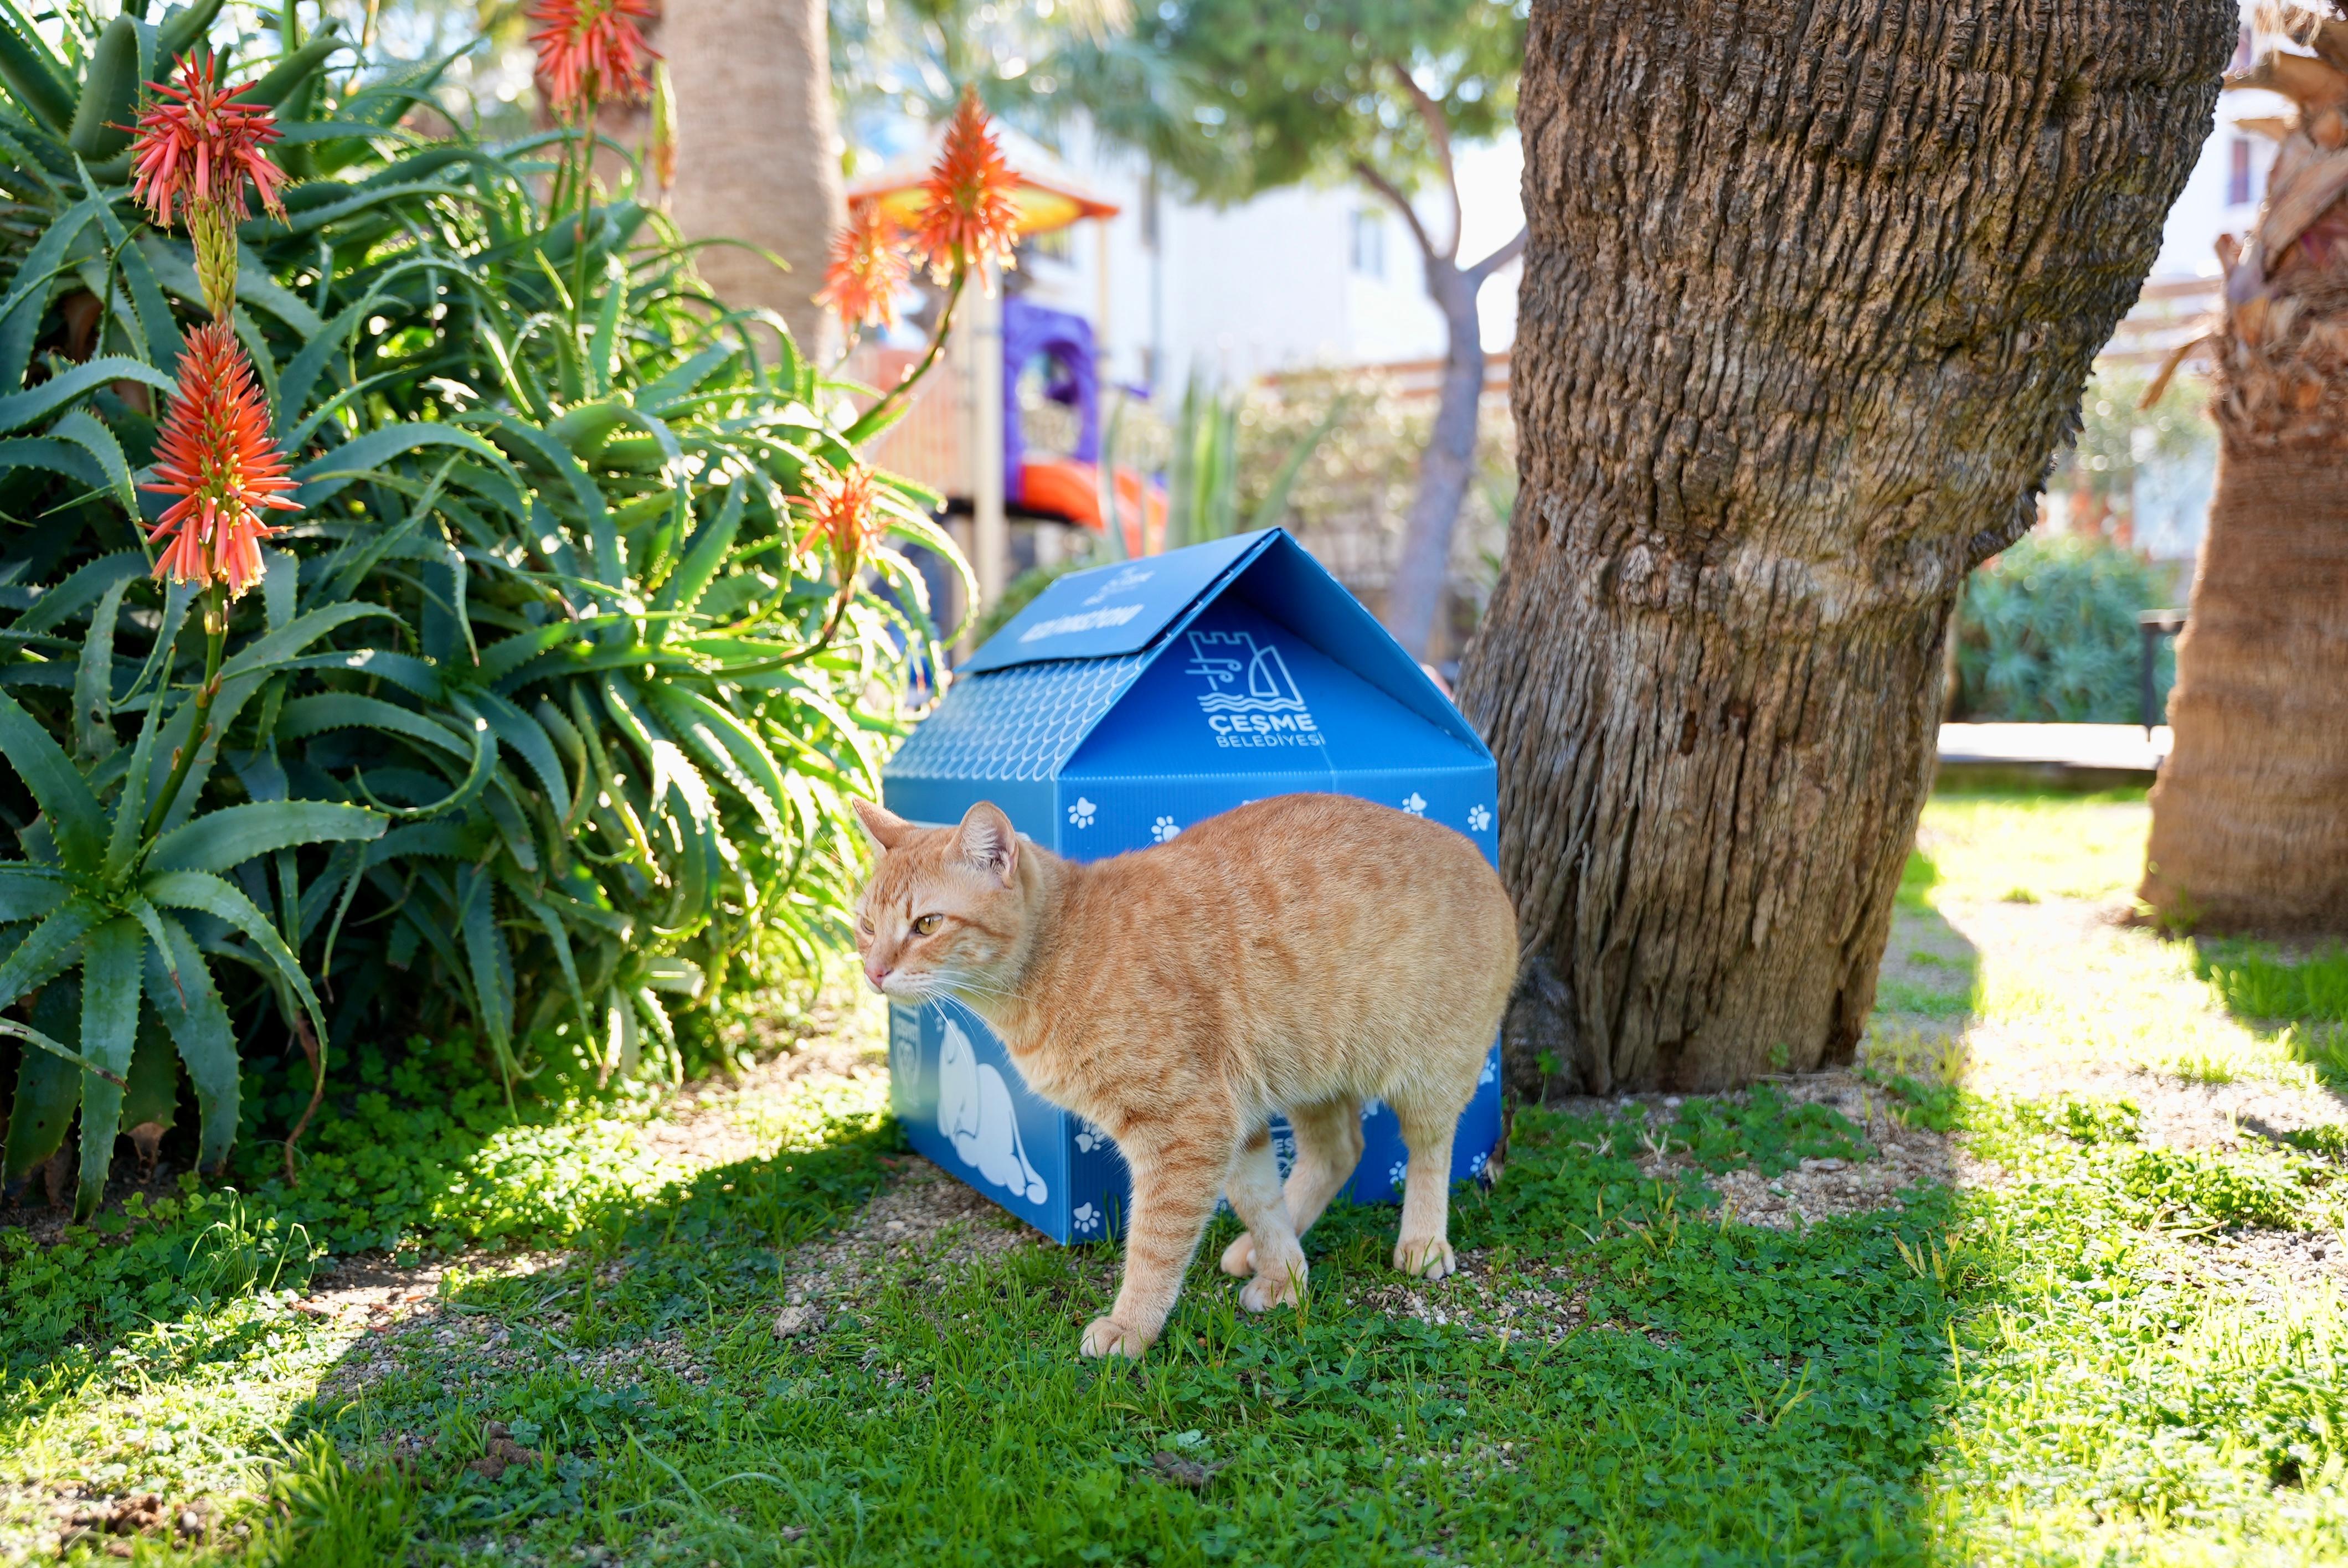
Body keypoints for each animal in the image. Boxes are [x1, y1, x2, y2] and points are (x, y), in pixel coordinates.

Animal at [854, 798, 1512, 1361]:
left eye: (926, 924)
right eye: (865, 926)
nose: (874, 972)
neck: (1062, 953)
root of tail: (1481, 855)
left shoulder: (1186, 1127)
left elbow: (1154, 1243)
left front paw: (1131, 1326)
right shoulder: (1233, 1121)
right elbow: (1257, 1198)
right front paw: (1286, 1275)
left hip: (1428, 1073)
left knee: (1430, 1152)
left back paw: (1423, 1242)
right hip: (1310, 1074)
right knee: (1340, 1150)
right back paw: (1259, 1250)